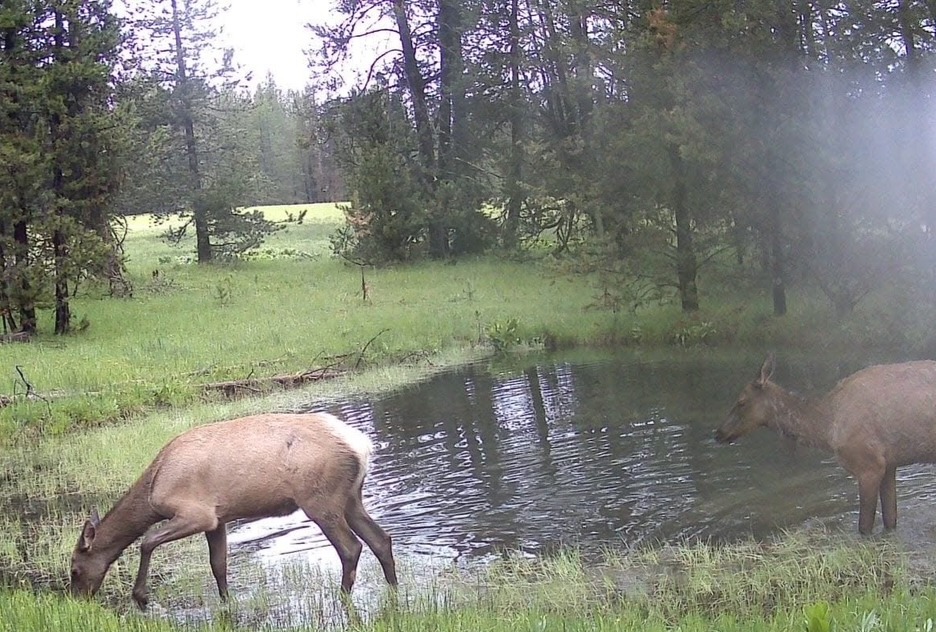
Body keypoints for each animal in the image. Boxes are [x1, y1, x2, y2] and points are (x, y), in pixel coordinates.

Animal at [69, 412, 398, 609]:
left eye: (74, 569)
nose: (77, 600)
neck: (152, 492)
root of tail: (361, 445)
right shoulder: (218, 520)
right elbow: (218, 564)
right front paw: (226, 602)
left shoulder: (197, 513)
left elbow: (147, 541)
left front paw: (140, 597)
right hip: (351, 497)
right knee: (380, 539)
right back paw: (394, 590)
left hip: (320, 499)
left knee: (351, 547)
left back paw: (341, 600)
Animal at [715, 354, 936, 535]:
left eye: (741, 401)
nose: (718, 433)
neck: (826, 428)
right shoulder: (889, 464)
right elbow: (890, 520)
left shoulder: (869, 466)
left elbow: (864, 527)